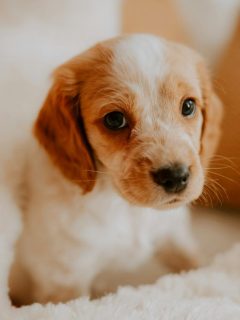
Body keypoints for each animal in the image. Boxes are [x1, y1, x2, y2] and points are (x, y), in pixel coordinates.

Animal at [9, 33, 223, 304]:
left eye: (188, 106)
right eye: (114, 120)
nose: (175, 177)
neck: (127, 209)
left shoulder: (173, 233)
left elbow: (195, 264)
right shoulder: (63, 280)